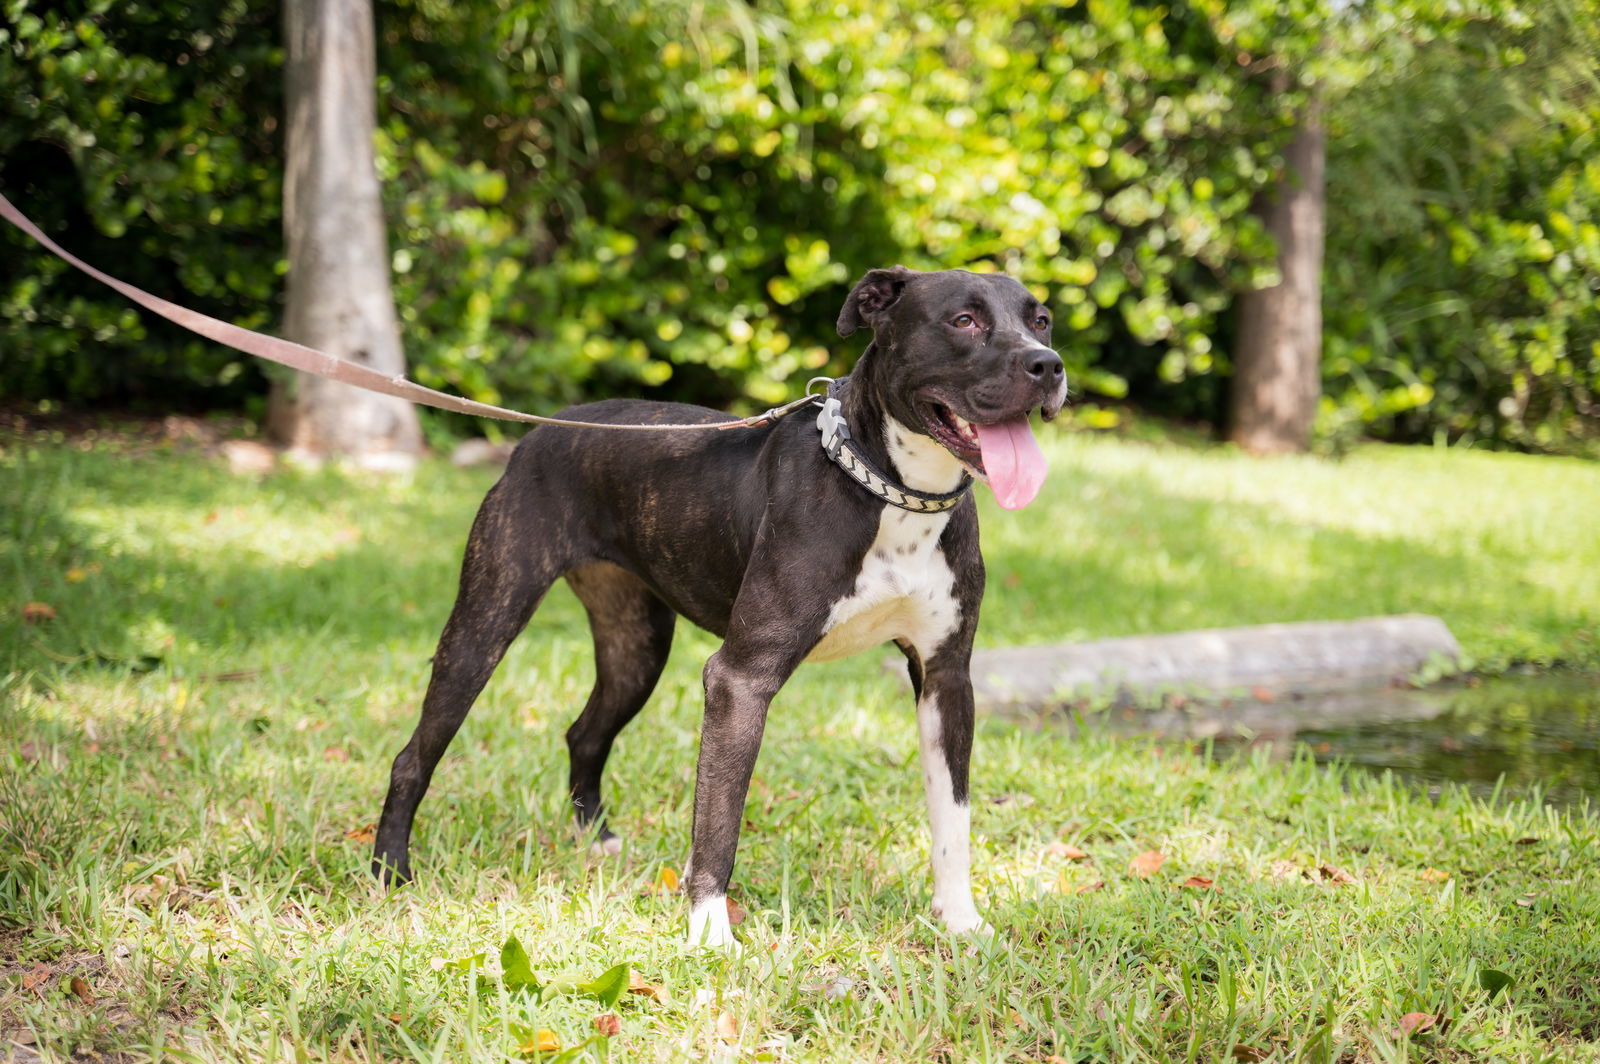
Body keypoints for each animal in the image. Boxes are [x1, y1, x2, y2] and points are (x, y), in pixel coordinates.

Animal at [374, 265, 1068, 947]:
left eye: (1041, 320)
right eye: (963, 320)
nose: (1049, 365)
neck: (892, 491)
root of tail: (545, 430)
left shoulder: (947, 679)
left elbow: (953, 816)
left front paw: (961, 921)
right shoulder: (740, 679)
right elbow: (719, 818)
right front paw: (710, 935)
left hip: (636, 647)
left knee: (585, 732)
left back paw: (596, 843)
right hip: (484, 623)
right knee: (414, 756)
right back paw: (389, 872)